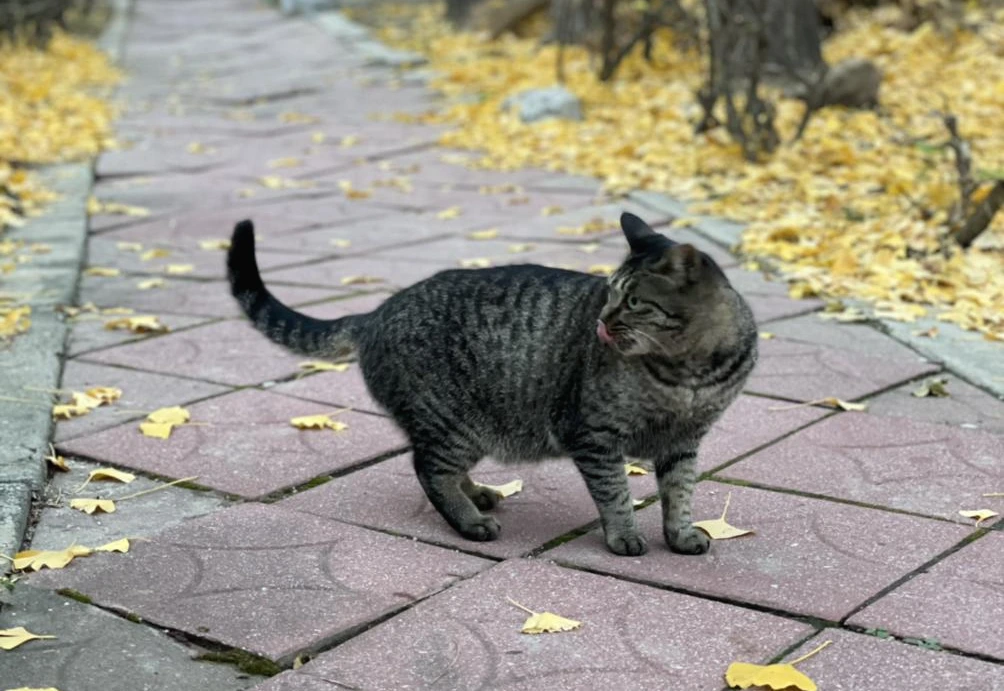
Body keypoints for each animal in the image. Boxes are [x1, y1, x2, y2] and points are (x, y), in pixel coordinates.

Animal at [227, 212, 758, 556]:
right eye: (609, 295)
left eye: (631, 302)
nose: (602, 322)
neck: (688, 374)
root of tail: (377, 310)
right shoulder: (594, 436)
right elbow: (616, 494)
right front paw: (624, 535)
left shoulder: (684, 442)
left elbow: (680, 493)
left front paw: (680, 534)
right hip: (454, 423)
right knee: (428, 468)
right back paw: (470, 520)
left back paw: (477, 494)